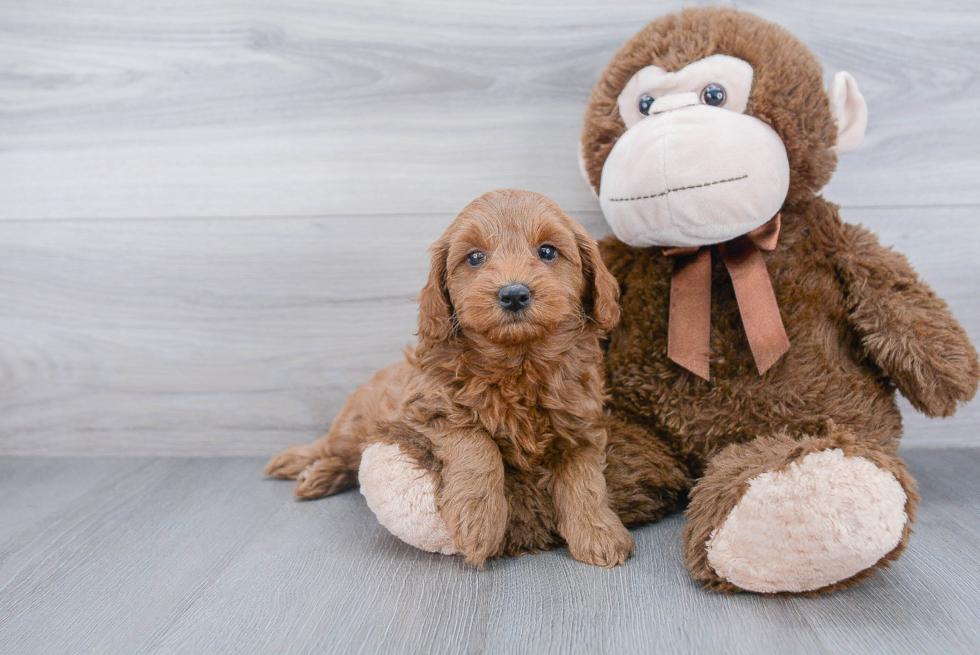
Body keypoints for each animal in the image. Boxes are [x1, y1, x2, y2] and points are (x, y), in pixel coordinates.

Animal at [266, 188, 636, 568]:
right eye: (474, 257)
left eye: (547, 251)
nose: (514, 294)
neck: (518, 363)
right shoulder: (430, 409)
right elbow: (478, 443)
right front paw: (478, 520)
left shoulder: (581, 426)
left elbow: (586, 478)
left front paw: (598, 531)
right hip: (355, 423)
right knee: (333, 447)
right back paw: (305, 466)